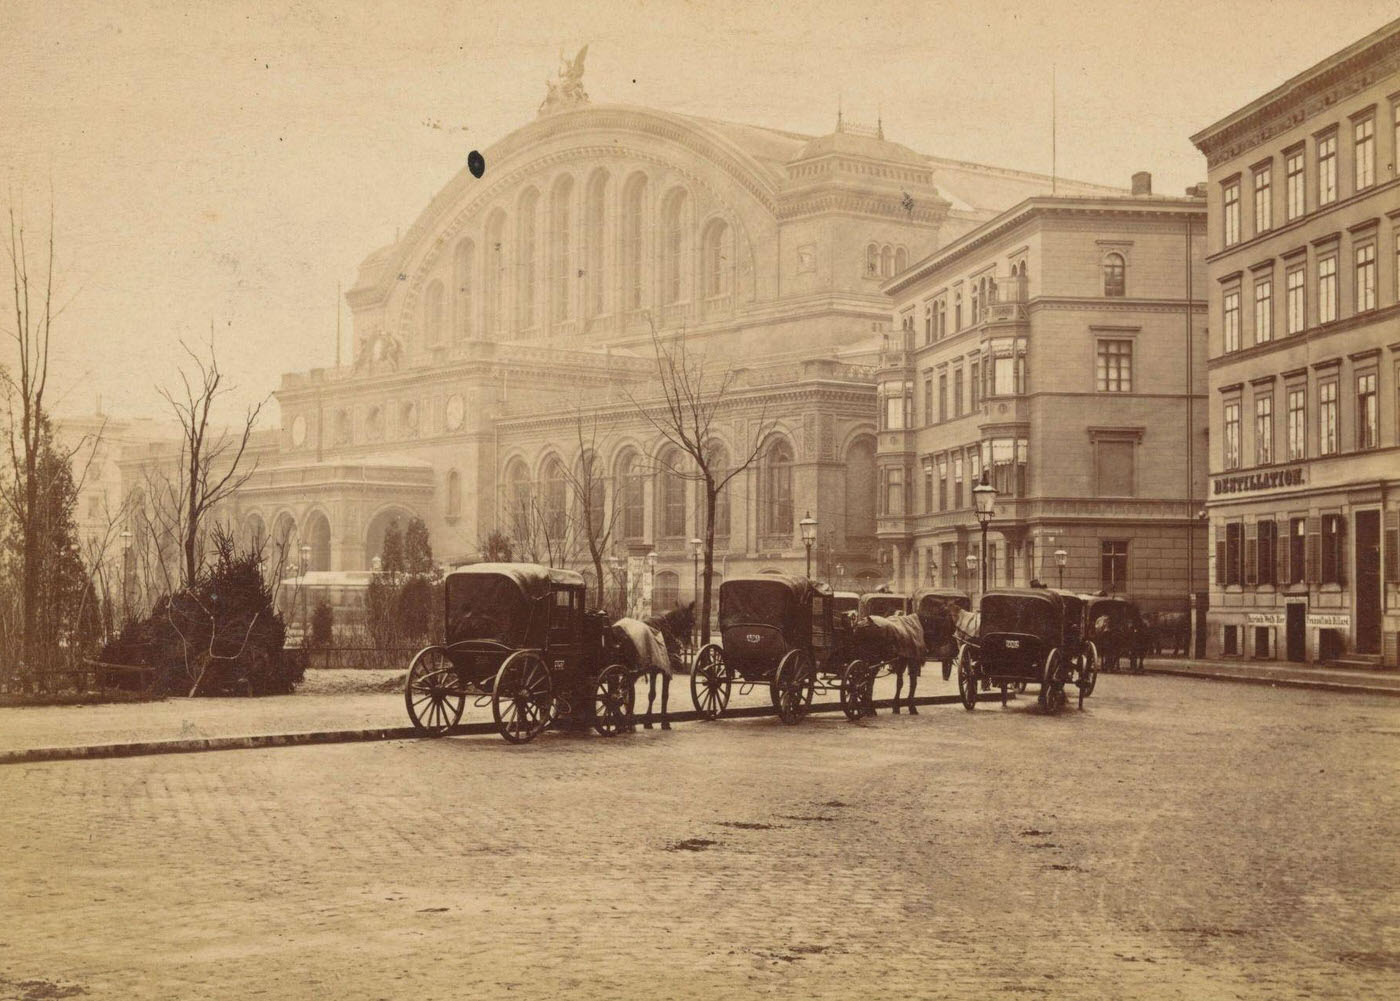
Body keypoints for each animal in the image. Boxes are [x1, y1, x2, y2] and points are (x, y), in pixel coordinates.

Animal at [613, 599, 700, 733]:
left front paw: (648, 722)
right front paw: (664, 722)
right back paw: (627, 723)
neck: (665, 631)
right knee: (624, 691)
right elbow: (664, 695)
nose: (688, 643)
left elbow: (652, 695)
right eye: (692, 621)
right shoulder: (666, 671)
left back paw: (625, 723)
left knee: (623, 690)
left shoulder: (654, 670)